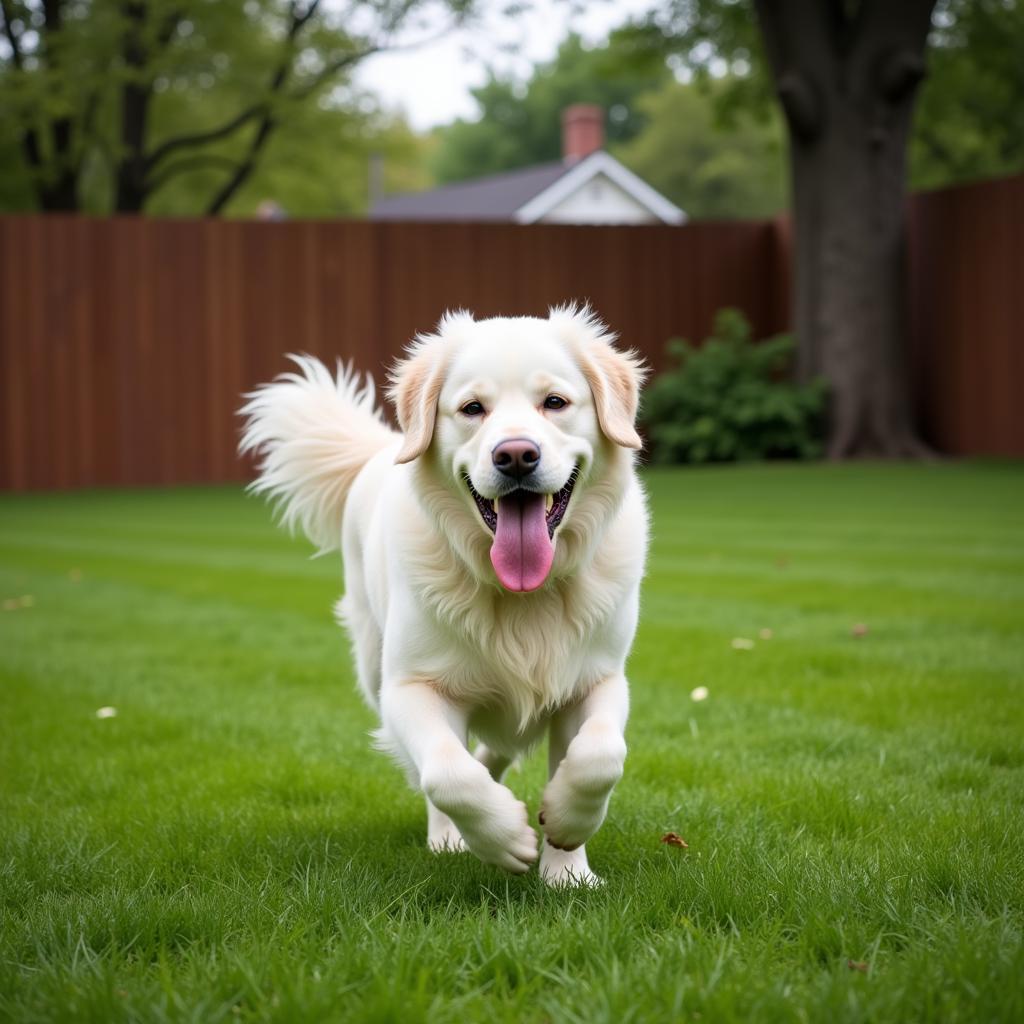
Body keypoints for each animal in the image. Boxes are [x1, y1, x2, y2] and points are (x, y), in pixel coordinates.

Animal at [239, 305, 647, 888]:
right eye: (473, 408)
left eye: (555, 402)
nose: (516, 455)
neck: (520, 594)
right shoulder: (410, 688)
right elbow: (447, 774)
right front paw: (506, 838)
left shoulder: (599, 678)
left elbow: (601, 756)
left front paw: (567, 858)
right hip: (373, 664)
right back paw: (453, 837)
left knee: (497, 747)